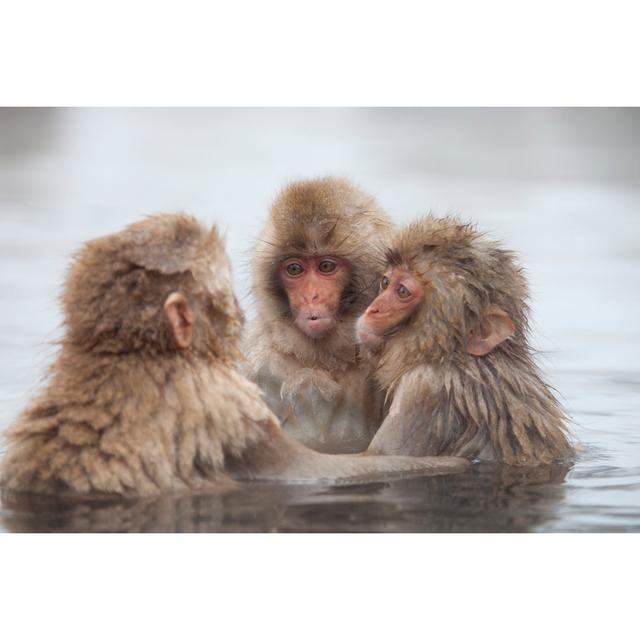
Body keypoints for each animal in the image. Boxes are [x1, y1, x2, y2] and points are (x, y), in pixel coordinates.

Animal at [0, 212, 470, 498]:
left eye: (327, 268)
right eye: (296, 270)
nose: (312, 297)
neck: (132, 356)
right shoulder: (233, 399)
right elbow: (321, 469)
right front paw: (457, 462)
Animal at [356, 215, 576, 464]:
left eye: (402, 291)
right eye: (385, 282)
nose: (373, 310)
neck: (457, 358)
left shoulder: (425, 388)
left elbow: (382, 456)